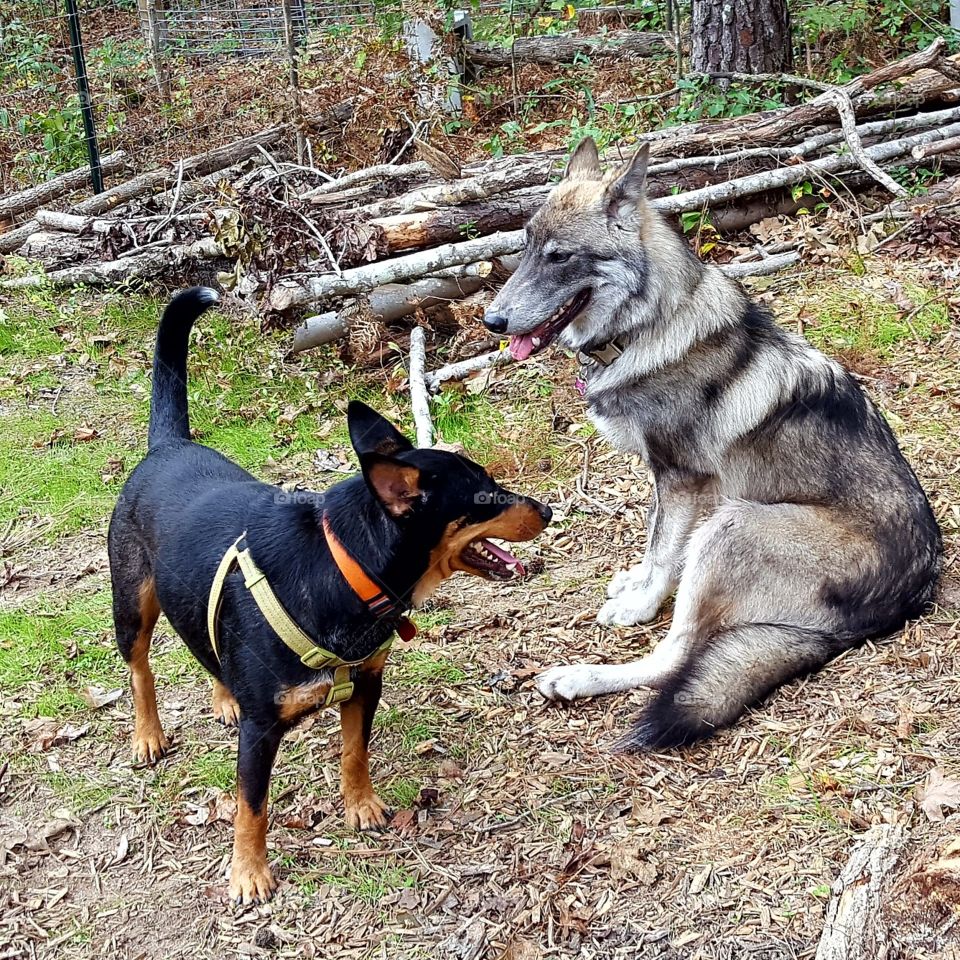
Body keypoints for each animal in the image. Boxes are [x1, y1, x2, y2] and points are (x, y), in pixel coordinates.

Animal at [109, 288, 552, 904]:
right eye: (485, 494)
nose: (547, 509)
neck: (343, 567)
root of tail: (168, 445)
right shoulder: (260, 730)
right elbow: (251, 806)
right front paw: (249, 872)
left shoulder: (365, 683)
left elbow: (354, 752)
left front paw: (360, 806)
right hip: (132, 602)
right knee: (140, 668)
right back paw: (148, 735)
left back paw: (223, 696)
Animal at [484, 137, 940, 752]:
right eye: (527, 247)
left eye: (561, 257)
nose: (492, 320)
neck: (649, 326)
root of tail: (895, 606)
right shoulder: (678, 486)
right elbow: (657, 544)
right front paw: (636, 581)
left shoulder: (680, 478)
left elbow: (661, 553)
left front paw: (638, 604)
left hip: (732, 526)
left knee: (672, 659)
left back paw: (578, 677)